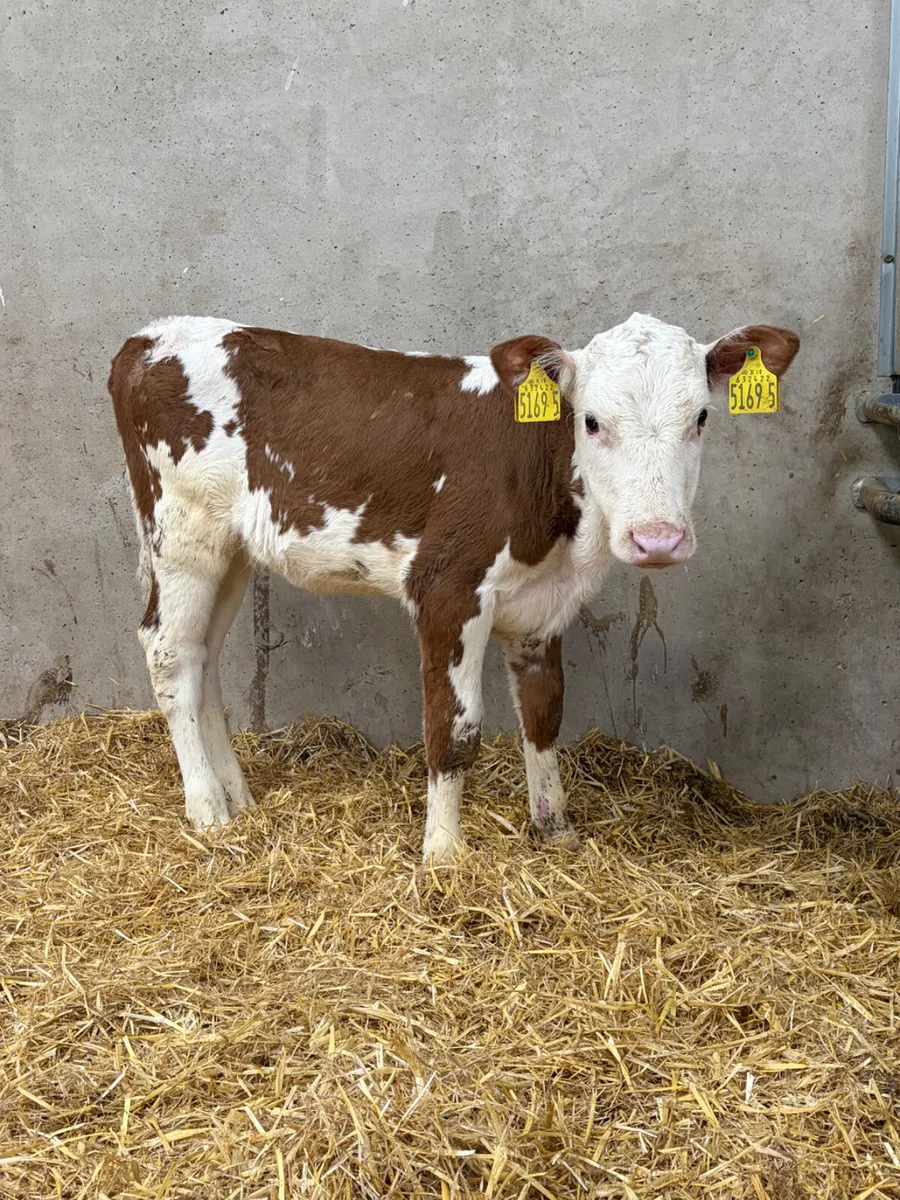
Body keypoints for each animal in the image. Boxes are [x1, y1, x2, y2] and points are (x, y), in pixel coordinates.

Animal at [109, 313, 799, 862]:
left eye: (702, 417)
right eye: (592, 421)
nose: (658, 539)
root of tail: (149, 336)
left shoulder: (542, 607)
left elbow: (545, 714)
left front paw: (556, 831)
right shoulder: (446, 588)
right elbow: (456, 728)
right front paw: (443, 853)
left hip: (231, 550)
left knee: (202, 657)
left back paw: (239, 795)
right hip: (183, 533)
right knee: (168, 652)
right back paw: (207, 808)